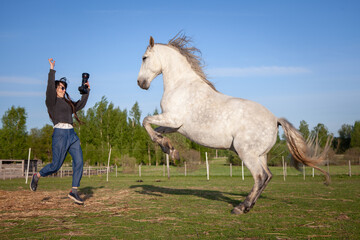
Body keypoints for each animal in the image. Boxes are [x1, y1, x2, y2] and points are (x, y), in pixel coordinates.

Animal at [137, 33, 332, 214]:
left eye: (144, 58)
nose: (140, 83)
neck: (181, 85)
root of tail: (275, 119)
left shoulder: (173, 118)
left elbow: (145, 121)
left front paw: (167, 148)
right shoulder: (174, 125)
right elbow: (156, 130)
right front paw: (169, 148)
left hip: (246, 152)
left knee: (260, 177)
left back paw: (240, 207)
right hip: (260, 155)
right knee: (268, 176)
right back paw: (249, 205)